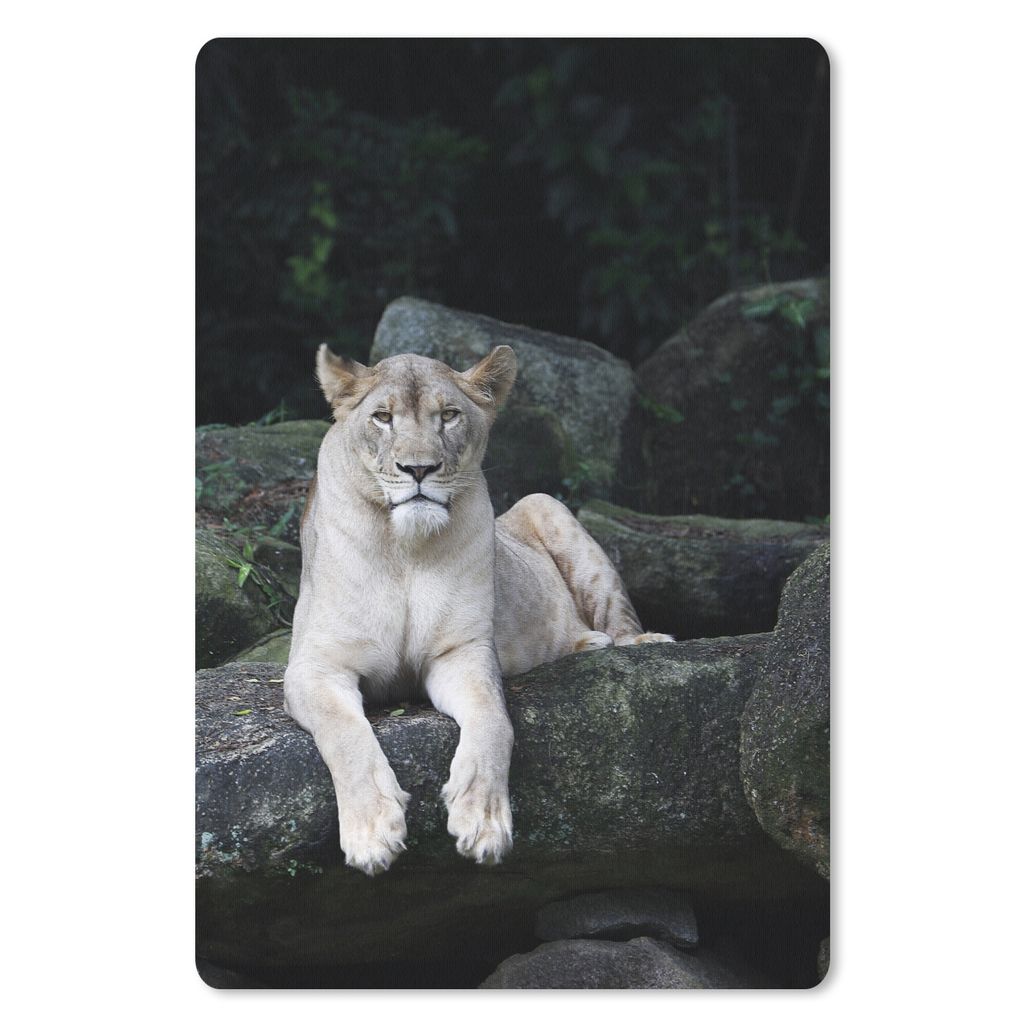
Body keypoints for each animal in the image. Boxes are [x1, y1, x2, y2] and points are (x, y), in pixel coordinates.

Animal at [284, 343, 672, 876]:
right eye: (382, 417)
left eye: (449, 416)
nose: (419, 469)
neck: (405, 550)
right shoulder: (315, 666)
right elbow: (345, 732)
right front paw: (372, 834)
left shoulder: (461, 653)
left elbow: (493, 720)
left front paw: (483, 822)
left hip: (546, 505)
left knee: (619, 618)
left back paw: (628, 641)